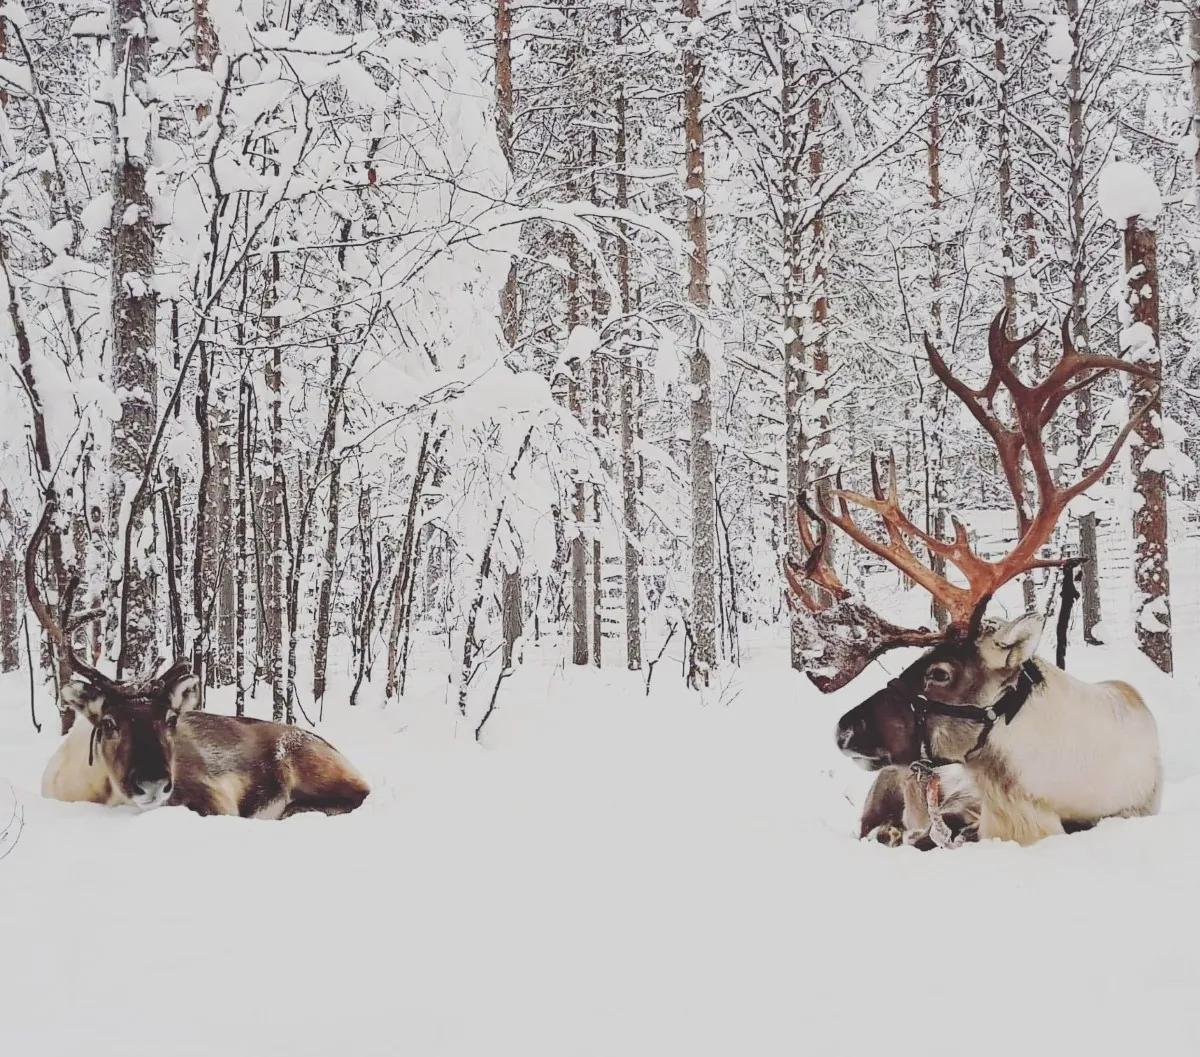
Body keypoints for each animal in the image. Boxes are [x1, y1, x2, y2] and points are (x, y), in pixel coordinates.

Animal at [29, 498, 371, 819]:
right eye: (109, 724)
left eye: (170, 719)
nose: (153, 784)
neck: (94, 790)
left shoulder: (210, 797)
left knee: (352, 797)